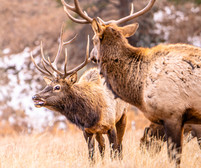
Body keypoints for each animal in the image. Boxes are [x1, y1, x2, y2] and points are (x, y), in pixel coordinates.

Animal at [30, 25, 127, 161]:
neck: (91, 115)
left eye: (57, 87)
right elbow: (91, 156)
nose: (35, 96)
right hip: (98, 132)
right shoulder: (87, 131)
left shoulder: (111, 124)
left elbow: (114, 151)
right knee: (102, 147)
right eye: (47, 85)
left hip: (123, 115)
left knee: (120, 145)